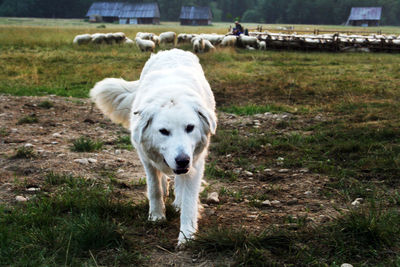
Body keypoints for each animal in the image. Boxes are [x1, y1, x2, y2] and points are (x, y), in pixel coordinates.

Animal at [89, 48, 217, 247]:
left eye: (190, 127)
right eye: (163, 131)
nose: (182, 160)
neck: (172, 92)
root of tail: (172, 50)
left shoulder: (195, 163)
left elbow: (189, 201)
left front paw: (186, 236)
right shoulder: (146, 159)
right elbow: (154, 188)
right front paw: (157, 216)